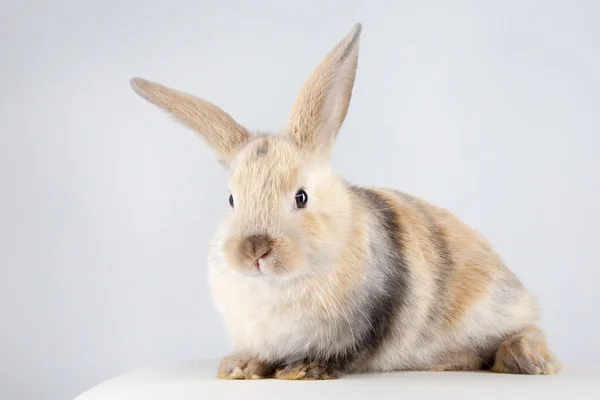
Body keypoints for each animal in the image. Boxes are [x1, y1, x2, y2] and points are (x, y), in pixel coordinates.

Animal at [129, 23, 560, 380]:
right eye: (232, 199)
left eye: (301, 197)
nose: (254, 250)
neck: (280, 283)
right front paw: (240, 367)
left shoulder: (364, 328)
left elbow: (340, 356)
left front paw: (301, 371)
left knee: (528, 329)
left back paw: (527, 359)